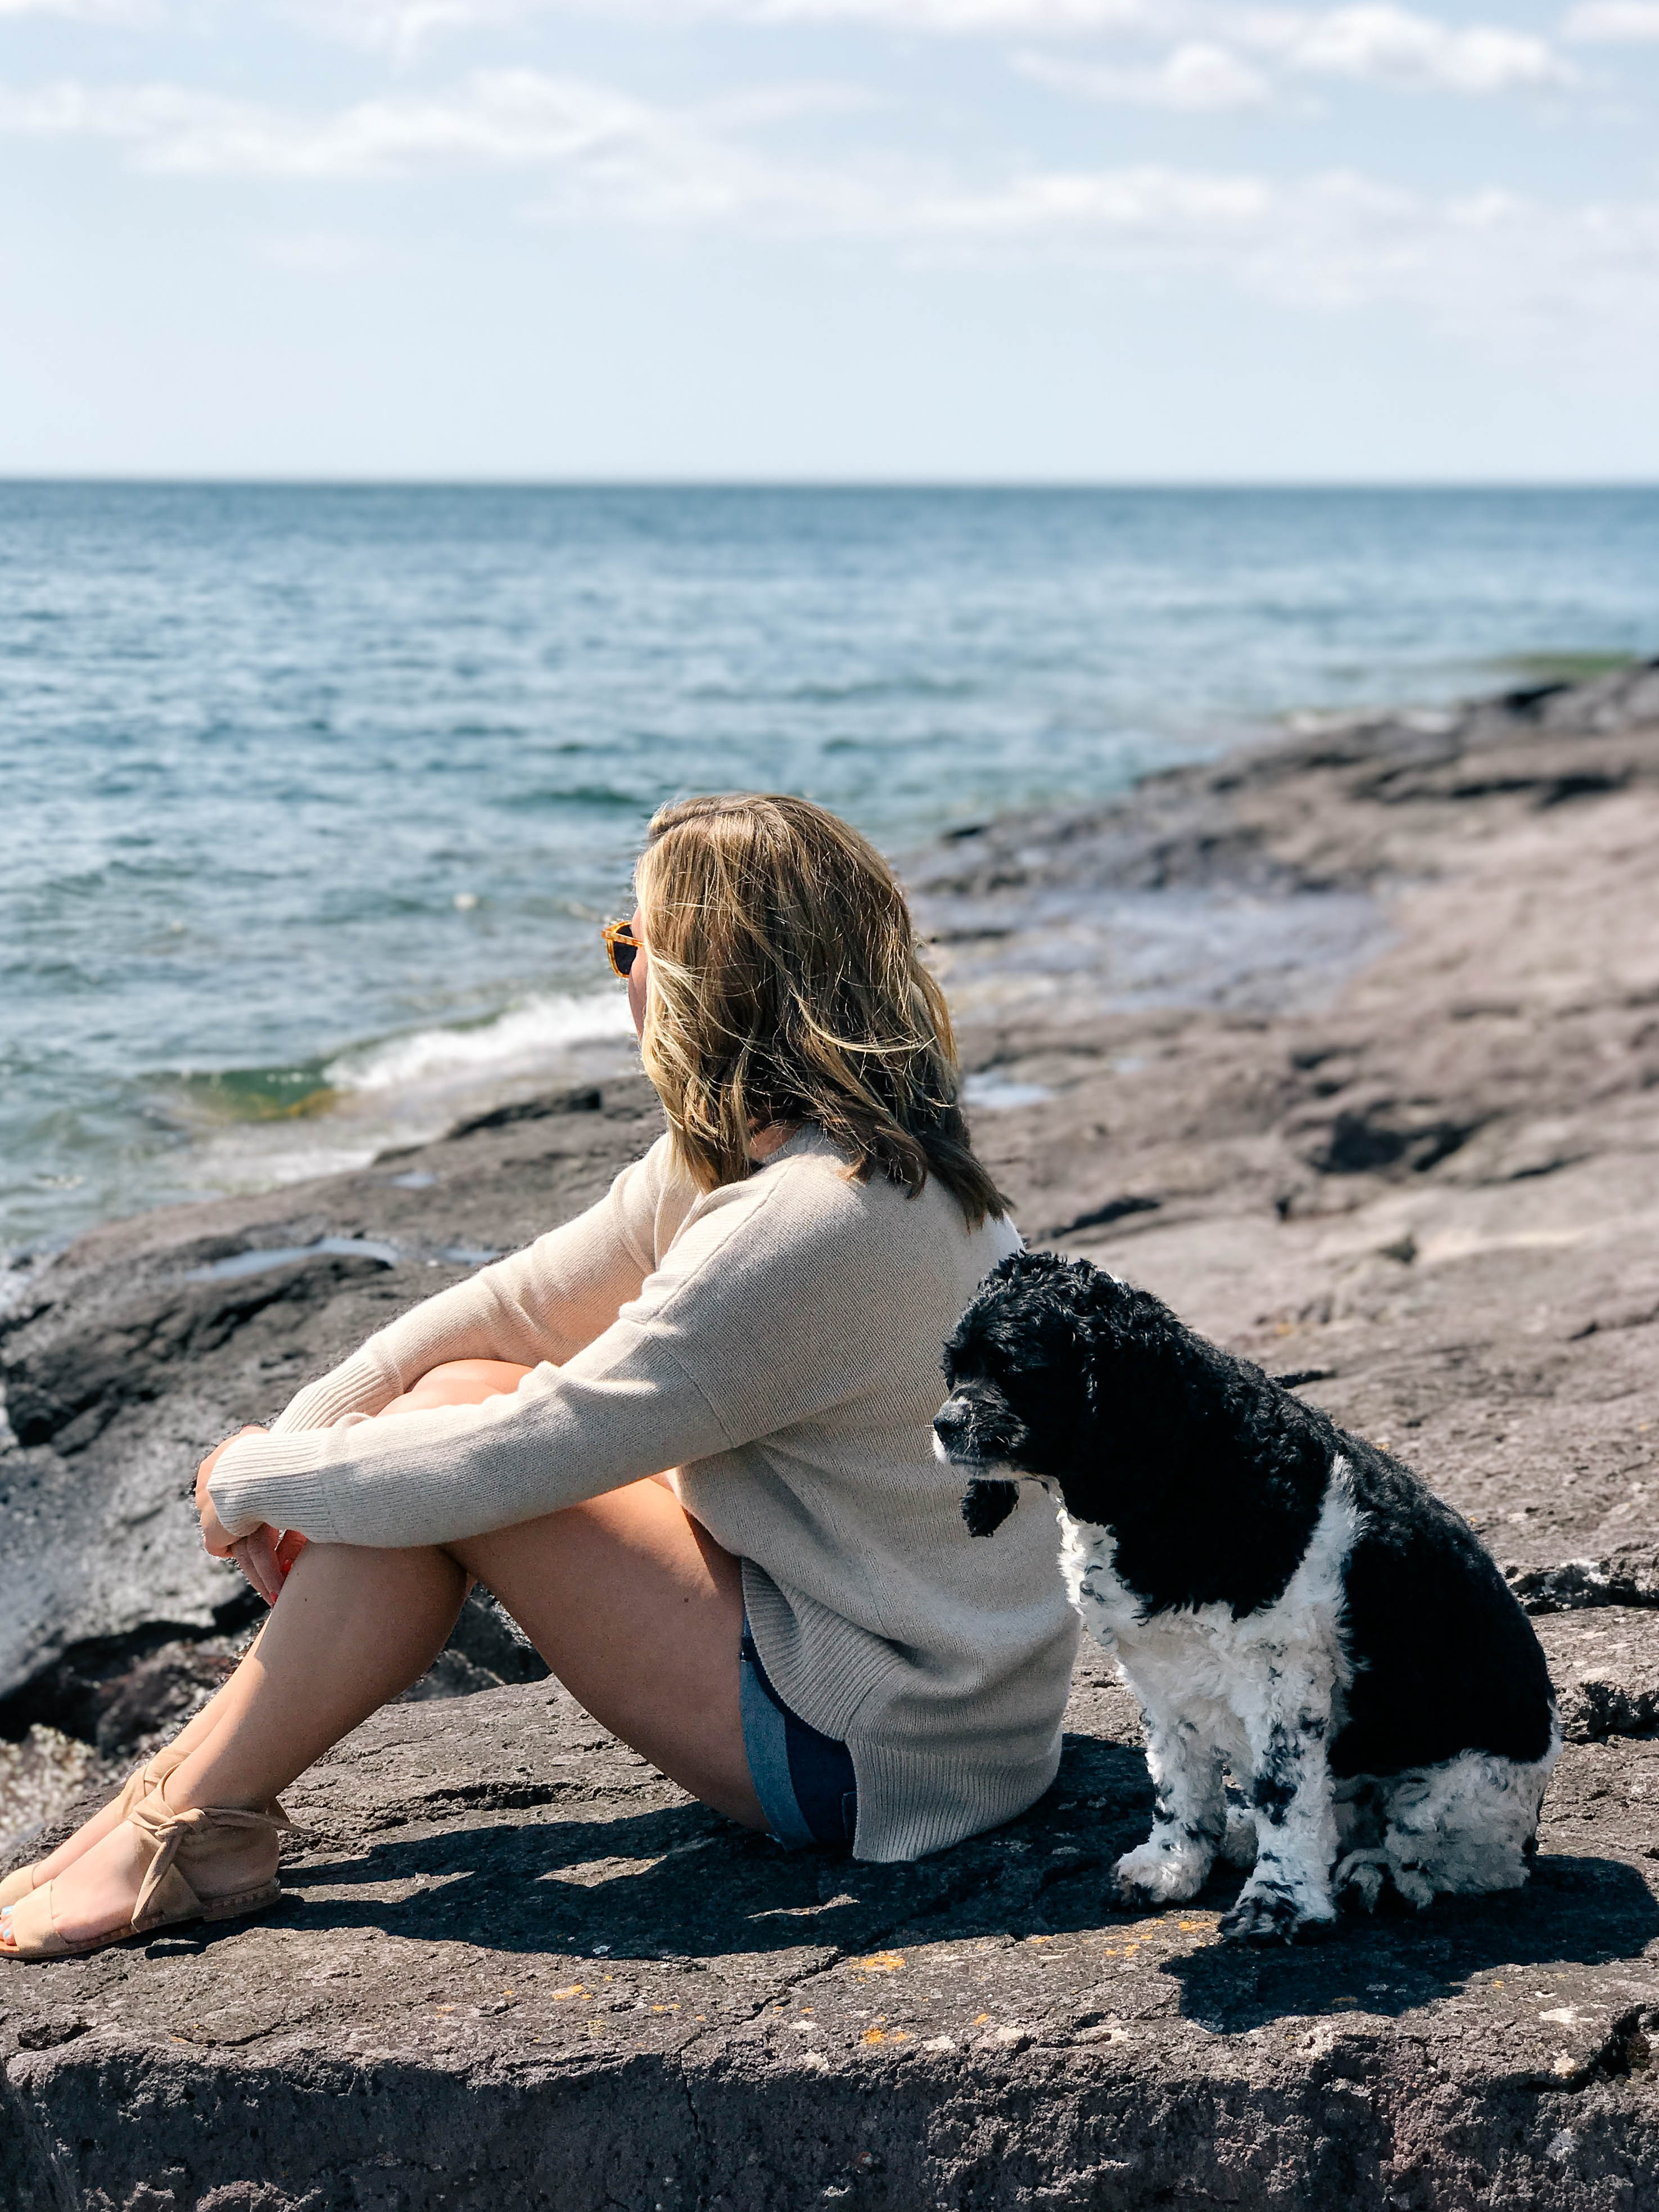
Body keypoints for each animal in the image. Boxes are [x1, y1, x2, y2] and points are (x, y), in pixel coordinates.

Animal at [942, 1256, 1566, 1946]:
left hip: (1456, 1795)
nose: (943, 1424)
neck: (1182, 1476)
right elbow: (1177, 1778)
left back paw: (1373, 1872)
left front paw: (1279, 1901)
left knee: (1454, 1861)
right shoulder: (1159, 1671)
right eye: (954, 1370)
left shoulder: (1280, 1672)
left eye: (1014, 1369)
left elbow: (1284, 1794)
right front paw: (1172, 1864)